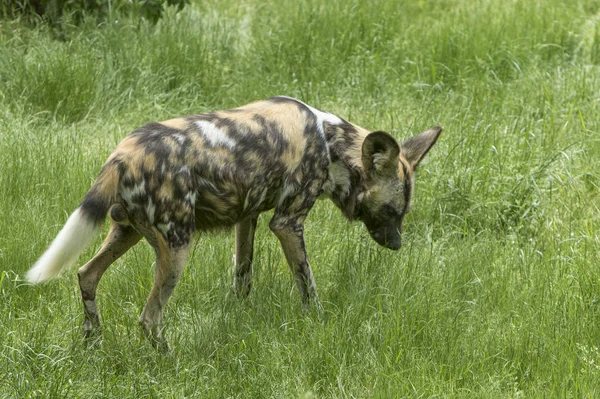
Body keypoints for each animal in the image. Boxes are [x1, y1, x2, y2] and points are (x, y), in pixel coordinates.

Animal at [25, 96, 440, 350]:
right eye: (393, 212)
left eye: (403, 213)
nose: (398, 245)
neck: (331, 144)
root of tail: (123, 154)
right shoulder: (287, 223)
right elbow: (308, 285)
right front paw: (318, 325)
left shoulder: (248, 218)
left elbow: (242, 276)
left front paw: (239, 319)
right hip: (177, 247)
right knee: (148, 318)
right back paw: (170, 361)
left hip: (126, 232)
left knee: (86, 274)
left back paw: (92, 341)